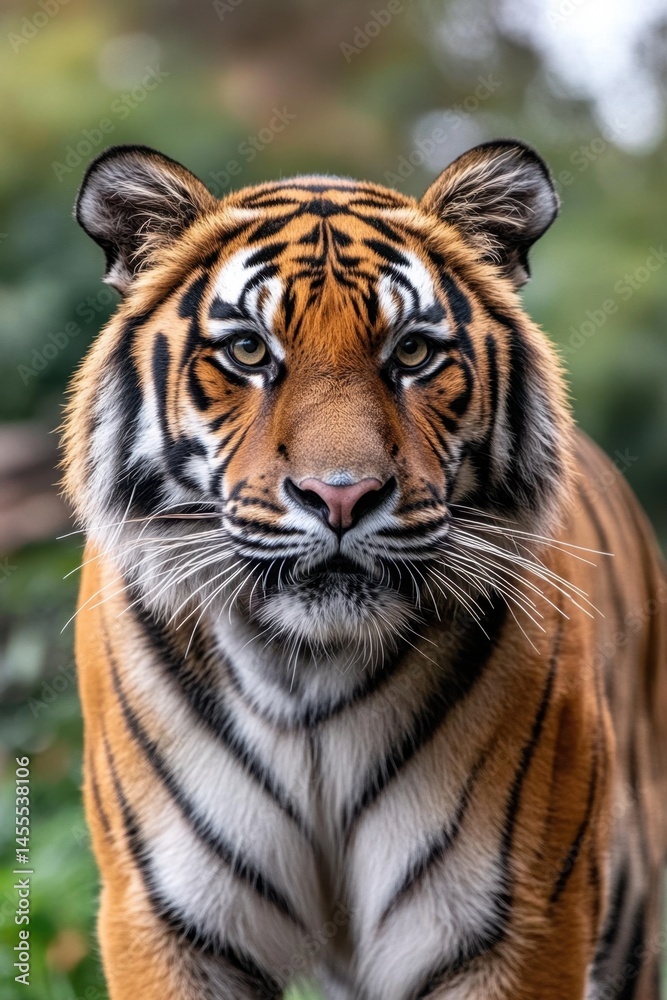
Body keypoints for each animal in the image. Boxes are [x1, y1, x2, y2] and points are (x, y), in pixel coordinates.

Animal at [62, 139, 667, 1000]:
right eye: (248, 350)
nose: (340, 496)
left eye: (410, 351)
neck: (306, 671)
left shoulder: (515, 921)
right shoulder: (168, 920)